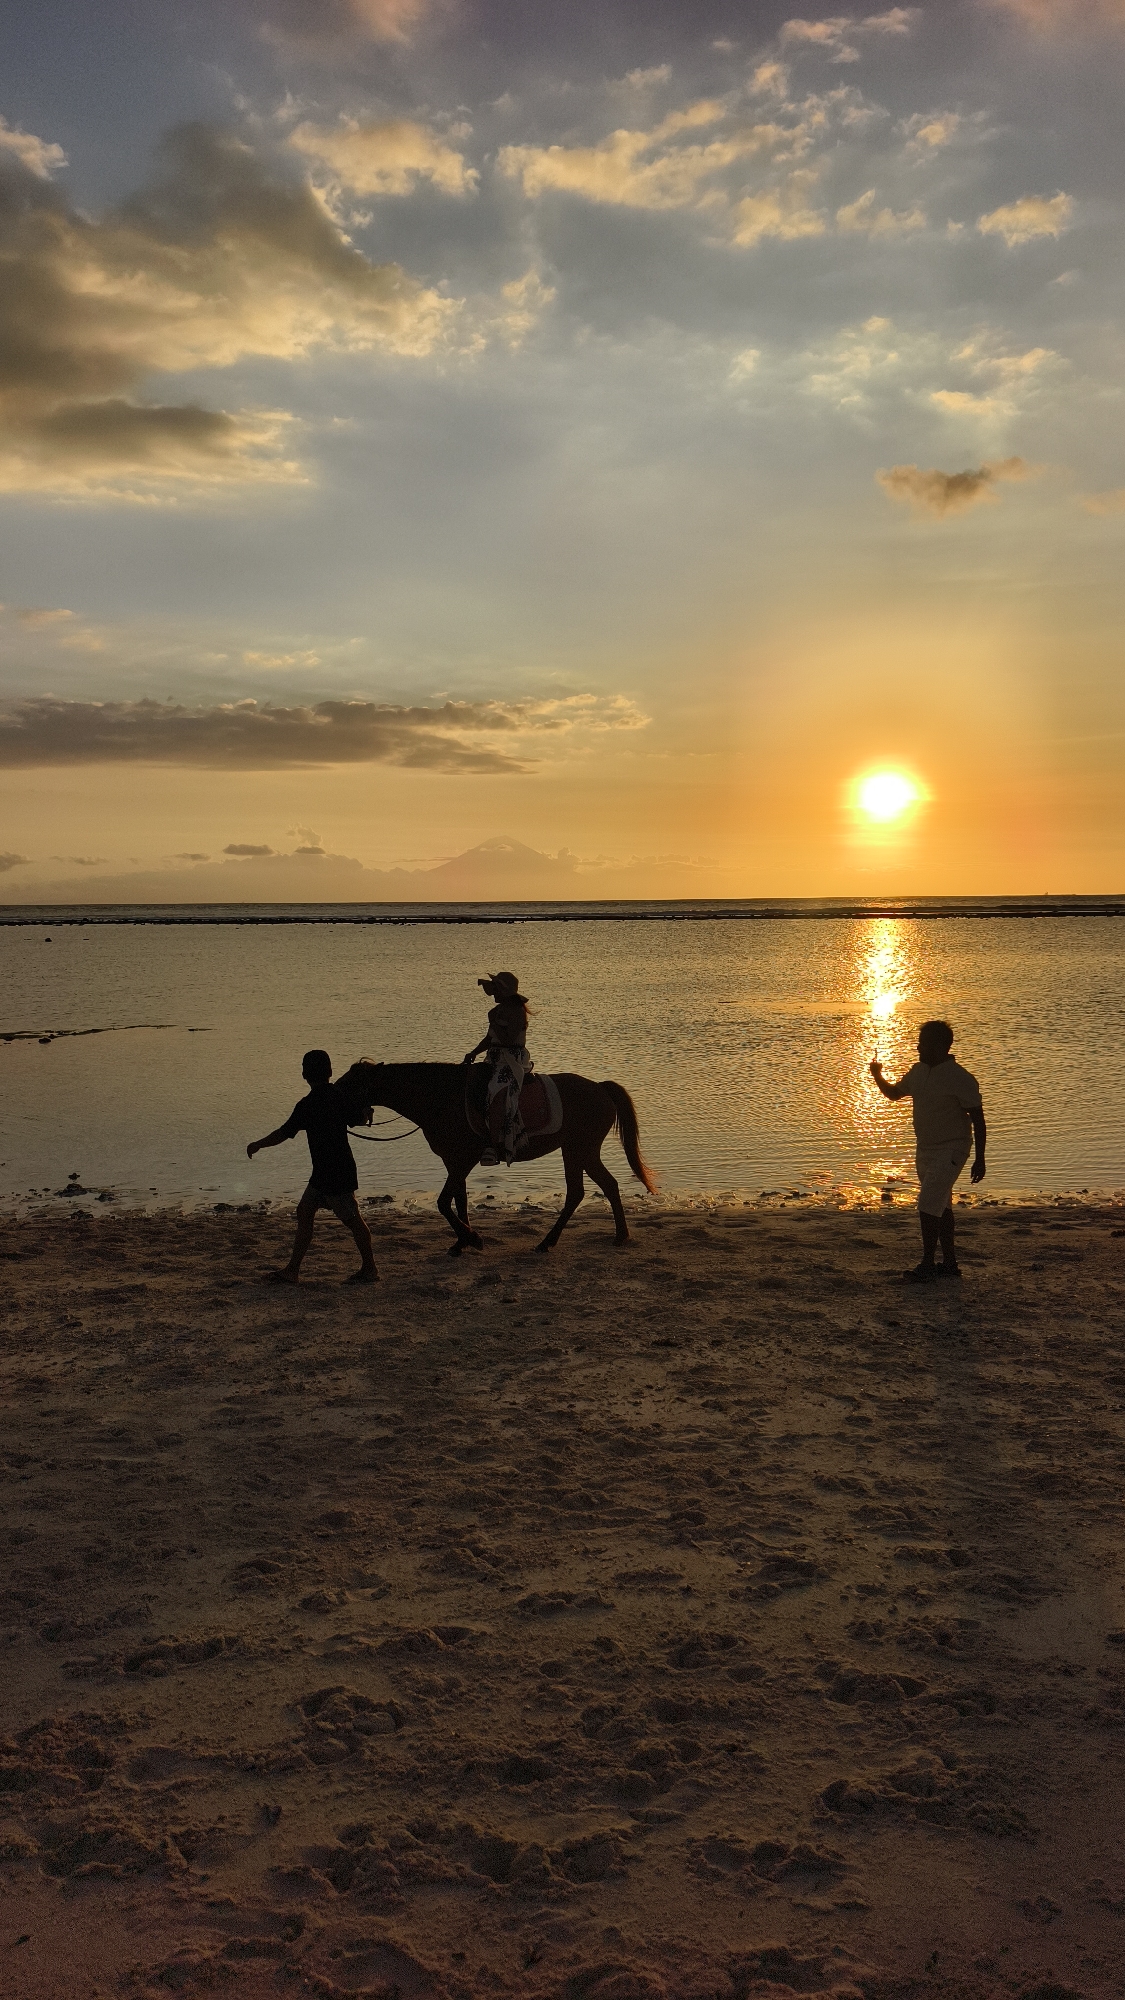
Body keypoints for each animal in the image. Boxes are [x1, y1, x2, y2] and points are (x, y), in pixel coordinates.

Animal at [335, 1060, 656, 1256]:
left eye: (350, 1084)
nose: (332, 1099)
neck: (441, 1097)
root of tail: (600, 1088)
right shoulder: (454, 1162)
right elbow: (459, 1201)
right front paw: (461, 1242)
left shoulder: (461, 1161)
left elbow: (443, 1203)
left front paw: (473, 1239)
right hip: (581, 1151)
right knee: (603, 1187)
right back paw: (617, 1235)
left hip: (579, 1150)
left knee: (582, 1191)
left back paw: (551, 1241)